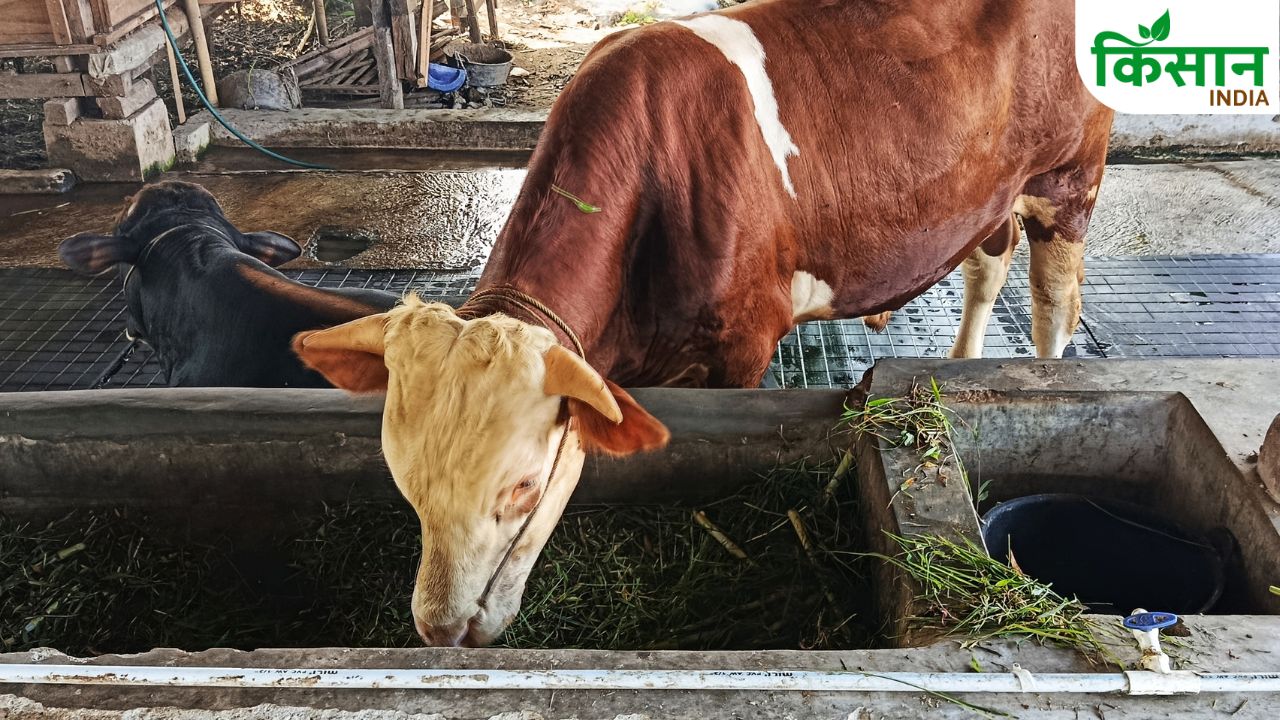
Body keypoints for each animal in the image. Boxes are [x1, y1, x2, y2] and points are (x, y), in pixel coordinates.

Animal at [293, 0, 1113, 646]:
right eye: (403, 479)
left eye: (523, 486)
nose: (442, 629)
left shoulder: (743, 346)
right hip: (988, 189)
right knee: (987, 264)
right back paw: (962, 362)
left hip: (1070, 174)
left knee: (1052, 301)